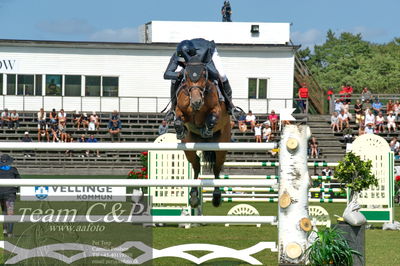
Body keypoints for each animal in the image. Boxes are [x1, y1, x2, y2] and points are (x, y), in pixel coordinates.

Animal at [173, 55, 231, 207]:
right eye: (186, 75)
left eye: (204, 74)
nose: (196, 102)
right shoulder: (180, 110)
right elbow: (178, 119)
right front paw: (180, 130)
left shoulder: (217, 110)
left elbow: (212, 118)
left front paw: (206, 130)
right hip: (189, 149)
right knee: (196, 165)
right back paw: (193, 196)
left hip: (222, 147)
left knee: (217, 167)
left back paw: (216, 197)